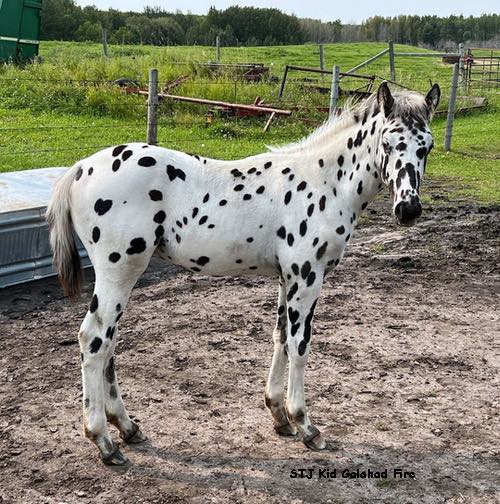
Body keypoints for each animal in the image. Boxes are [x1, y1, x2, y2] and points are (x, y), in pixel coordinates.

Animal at [46, 81, 438, 464]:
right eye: (388, 142)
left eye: (427, 147)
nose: (408, 210)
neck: (323, 181)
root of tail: (79, 168)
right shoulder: (307, 275)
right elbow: (300, 344)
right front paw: (306, 426)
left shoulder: (286, 277)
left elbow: (281, 337)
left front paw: (279, 416)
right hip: (119, 270)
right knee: (94, 339)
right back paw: (104, 441)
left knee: (108, 343)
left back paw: (127, 428)